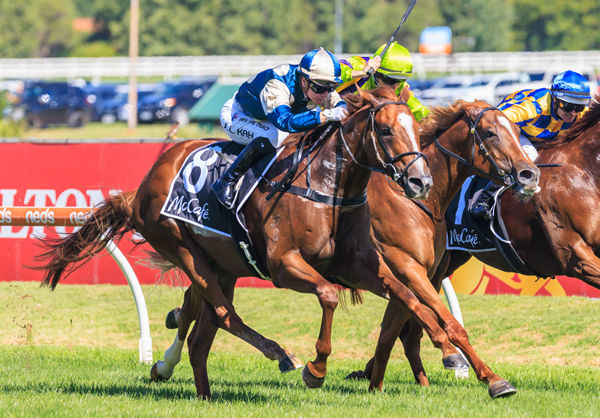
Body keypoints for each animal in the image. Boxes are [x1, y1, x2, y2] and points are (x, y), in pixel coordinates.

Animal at [34, 86, 446, 400]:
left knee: (202, 335)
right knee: (223, 314)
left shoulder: (356, 265)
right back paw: (281, 355)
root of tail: (141, 188)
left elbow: (406, 294)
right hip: (183, 249)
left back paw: (203, 392)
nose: (420, 182)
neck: (327, 186)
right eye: (387, 130)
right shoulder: (284, 265)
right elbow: (328, 295)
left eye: (416, 127)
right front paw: (315, 368)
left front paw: (445, 341)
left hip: (224, 267)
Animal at [154, 98, 540, 398]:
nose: (529, 173)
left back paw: (173, 364)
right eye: (490, 133)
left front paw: (383, 383)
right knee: (204, 310)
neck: (412, 202)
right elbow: (434, 321)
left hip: (222, 264)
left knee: (200, 314)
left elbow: (399, 326)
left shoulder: (401, 273)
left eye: (516, 130)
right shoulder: (407, 268)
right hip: (198, 255)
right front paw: (461, 363)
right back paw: (170, 363)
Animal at [352, 98, 600, 396]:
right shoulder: (577, 256)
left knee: (398, 327)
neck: (584, 173)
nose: (529, 176)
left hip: (438, 267)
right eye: (490, 133)